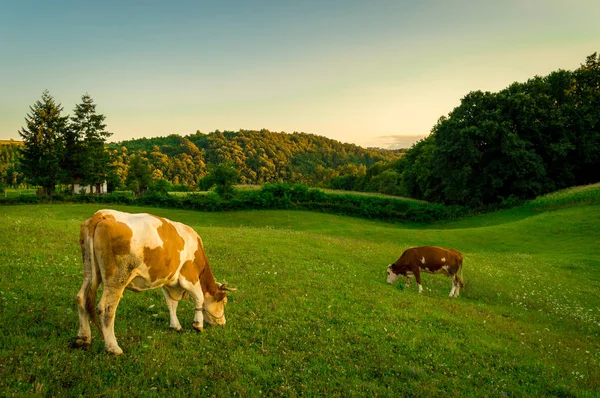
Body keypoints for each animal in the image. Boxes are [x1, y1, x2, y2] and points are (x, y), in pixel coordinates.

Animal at [74, 210, 236, 356]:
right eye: (224, 302)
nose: (222, 323)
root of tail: (102, 214)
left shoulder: (169, 282)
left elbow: (171, 304)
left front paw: (176, 326)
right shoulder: (189, 277)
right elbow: (200, 299)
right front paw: (198, 325)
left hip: (90, 272)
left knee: (81, 298)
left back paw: (83, 338)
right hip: (117, 278)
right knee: (106, 308)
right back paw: (113, 348)